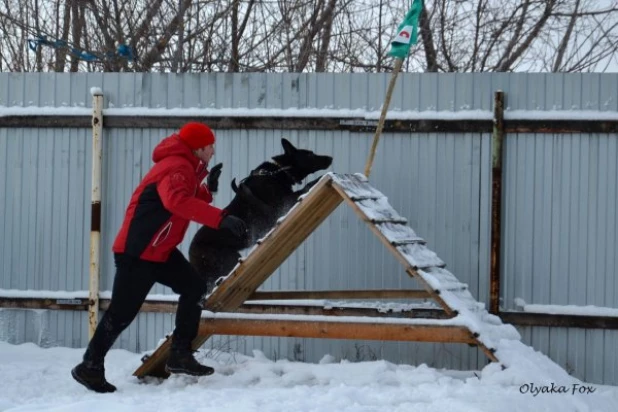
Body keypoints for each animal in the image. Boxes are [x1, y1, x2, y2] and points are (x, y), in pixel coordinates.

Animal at [188, 137, 332, 292]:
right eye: (310, 154)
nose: (330, 158)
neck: (279, 171)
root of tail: (191, 251)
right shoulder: (285, 202)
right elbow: (306, 186)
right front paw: (324, 177)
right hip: (228, 259)